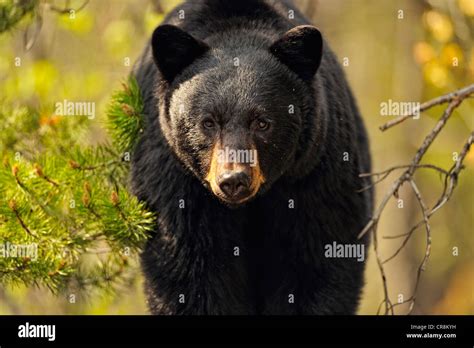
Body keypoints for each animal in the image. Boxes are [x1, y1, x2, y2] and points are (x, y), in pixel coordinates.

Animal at [131, 0, 372, 316]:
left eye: (262, 122)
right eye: (208, 122)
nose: (234, 180)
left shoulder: (315, 174)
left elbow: (319, 263)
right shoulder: (175, 182)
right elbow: (189, 274)